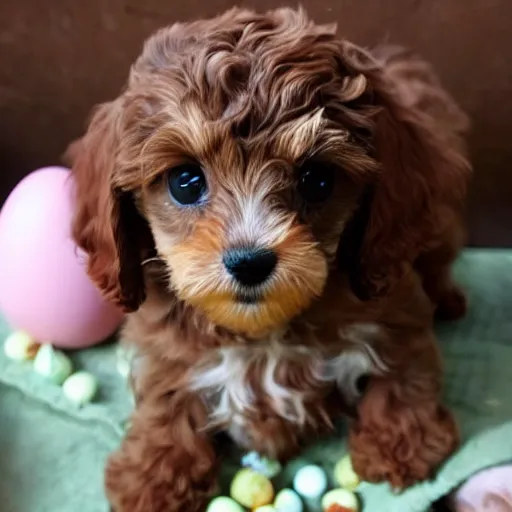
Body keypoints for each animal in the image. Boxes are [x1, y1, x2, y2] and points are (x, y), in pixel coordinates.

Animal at [67, 5, 472, 512]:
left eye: (317, 179)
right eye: (185, 181)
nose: (249, 261)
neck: (262, 330)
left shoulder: (394, 303)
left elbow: (403, 368)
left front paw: (401, 442)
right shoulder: (160, 341)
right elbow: (165, 393)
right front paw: (154, 472)